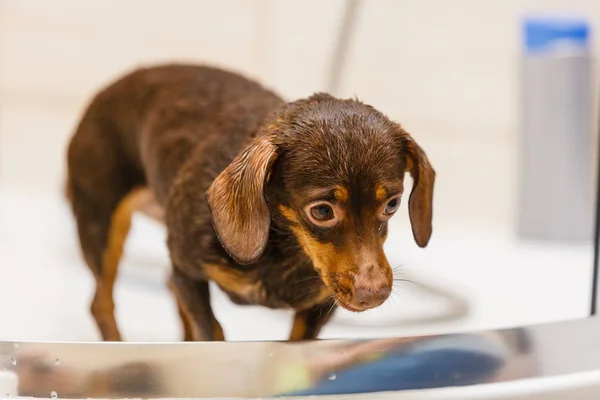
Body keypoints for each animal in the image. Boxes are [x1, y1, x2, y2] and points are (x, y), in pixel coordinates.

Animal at [65, 63, 436, 340]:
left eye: (392, 205)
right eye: (321, 212)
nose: (373, 294)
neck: (281, 247)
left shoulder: (319, 307)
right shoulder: (187, 271)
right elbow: (211, 332)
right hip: (101, 225)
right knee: (101, 304)